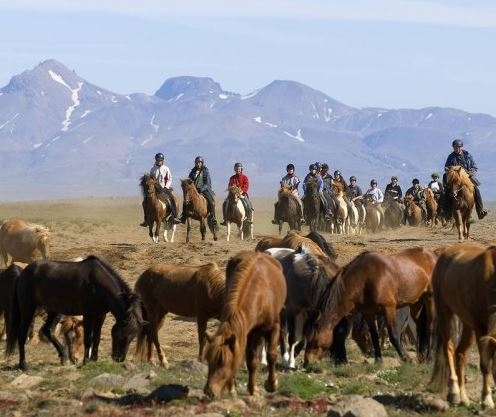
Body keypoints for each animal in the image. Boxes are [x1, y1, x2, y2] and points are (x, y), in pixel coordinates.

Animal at [6, 254, 144, 368]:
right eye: (122, 334)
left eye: (133, 336)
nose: (119, 358)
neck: (98, 284)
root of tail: (23, 274)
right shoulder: (88, 315)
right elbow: (88, 338)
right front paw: (86, 361)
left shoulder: (101, 315)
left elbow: (97, 338)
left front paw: (94, 359)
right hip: (28, 309)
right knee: (22, 334)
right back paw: (23, 364)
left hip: (54, 311)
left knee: (48, 330)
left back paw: (64, 356)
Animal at [202, 250, 286, 396]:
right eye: (208, 360)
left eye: (222, 362)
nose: (209, 391)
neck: (261, 296)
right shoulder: (247, 332)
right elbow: (251, 361)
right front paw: (250, 388)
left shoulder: (274, 327)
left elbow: (271, 355)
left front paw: (271, 384)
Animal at [302, 245, 438, 366]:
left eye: (313, 340)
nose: (307, 362)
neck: (365, 279)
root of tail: (432, 255)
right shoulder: (368, 313)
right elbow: (374, 335)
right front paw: (378, 360)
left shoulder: (389, 308)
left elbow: (393, 335)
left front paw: (406, 358)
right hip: (417, 303)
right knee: (420, 326)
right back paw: (421, 357)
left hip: (430, 299)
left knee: (430, 327)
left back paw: (429, 358)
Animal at [428, 242, 496, 408]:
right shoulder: (480, 327)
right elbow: (485, 365)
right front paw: (486, 400)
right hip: (445, 312)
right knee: (449, 348)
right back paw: (454, 392)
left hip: (467, 323)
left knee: (460, 354)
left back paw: (464, 397)